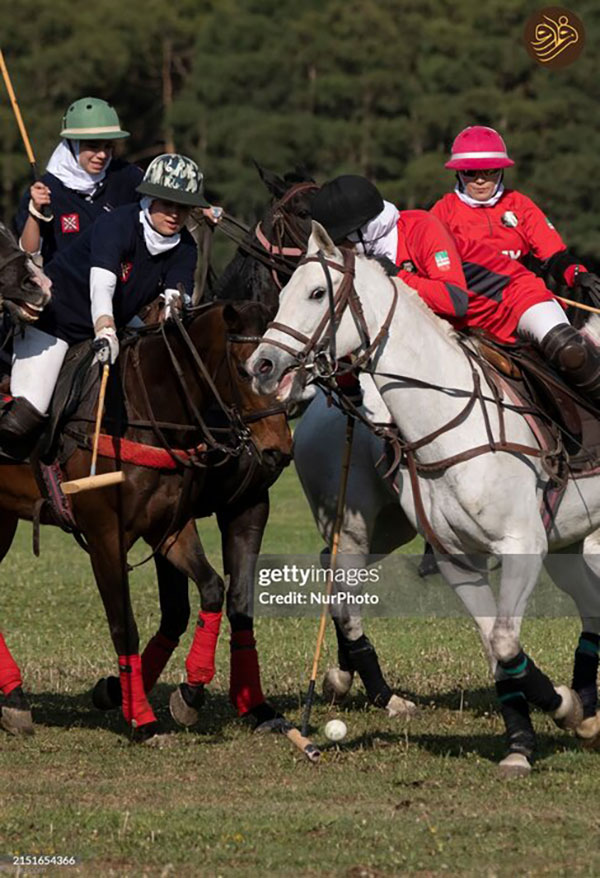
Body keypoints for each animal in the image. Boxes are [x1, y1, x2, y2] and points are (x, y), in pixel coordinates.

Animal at [0, 302, 290, 744]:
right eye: (247, 371)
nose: (280, 449)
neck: (142, 411)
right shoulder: (105, 538)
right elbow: (126, 626)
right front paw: (142, 719)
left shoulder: (170, 527)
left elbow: (212, 588)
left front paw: (189, 693)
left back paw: (14, 701)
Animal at [248, 223, 600, 780]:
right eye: (281, 296)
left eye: (318, 293)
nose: (260, 366)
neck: (445, 418)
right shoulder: (459, 558)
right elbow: (499, 648)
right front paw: (536, 733)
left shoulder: (522, 543)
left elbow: (504, 642)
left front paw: (564, 710)